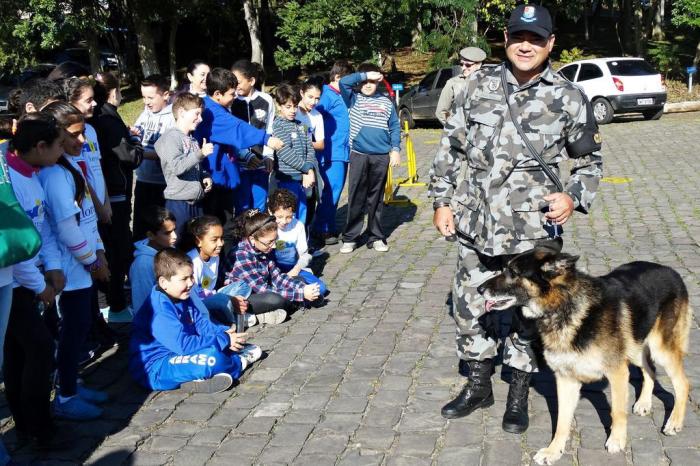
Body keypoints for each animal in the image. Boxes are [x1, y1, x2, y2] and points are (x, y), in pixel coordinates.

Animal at [478, 246, 692, 464]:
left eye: (513, 273)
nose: (479, 289)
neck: (564, 306)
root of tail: (671, 271)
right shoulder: (566, 380)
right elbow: (562, 421)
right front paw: (554, 451)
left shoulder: (617, 373)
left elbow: (617, 411)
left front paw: (617, 440)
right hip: (636, 348)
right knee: (650, 370)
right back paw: (644, 403)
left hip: (659, 349)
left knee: (683, 383)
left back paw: (674, 421)